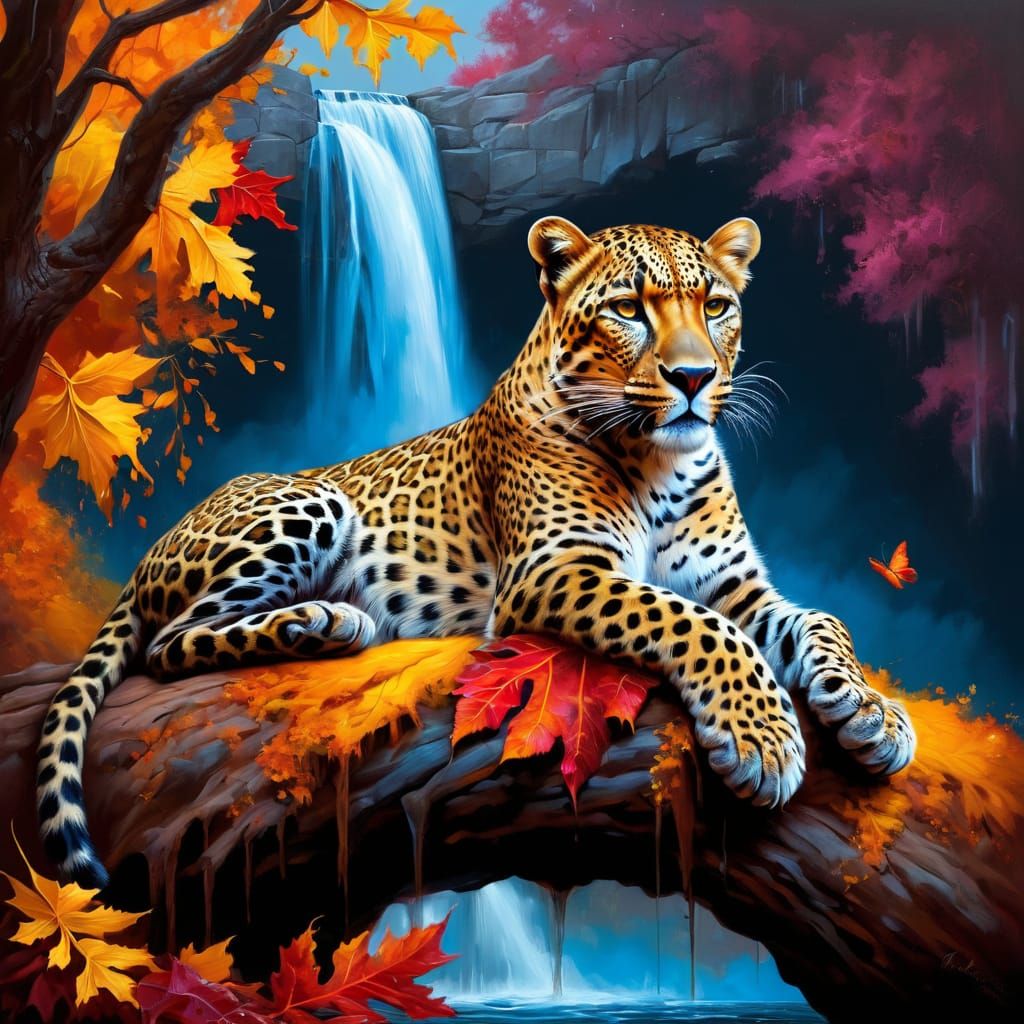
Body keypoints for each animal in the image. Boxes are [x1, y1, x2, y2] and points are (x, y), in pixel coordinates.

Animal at [36, 215, 916, 888]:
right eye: (629, 308)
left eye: (719, 305)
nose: (695, 376)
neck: (663, 463)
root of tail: (158, 540)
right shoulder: (554, 570)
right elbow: (694, 624)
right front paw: (761, 737)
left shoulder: (738, 585)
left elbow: (820, 621)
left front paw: (871, 713)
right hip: (306, 504)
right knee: (168, 644)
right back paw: (321, 623)